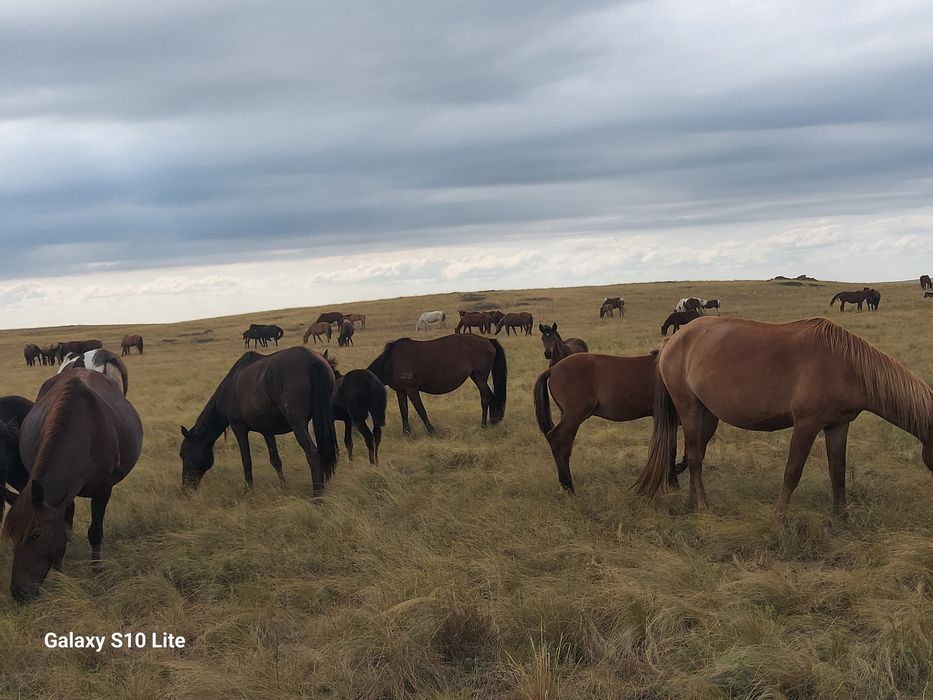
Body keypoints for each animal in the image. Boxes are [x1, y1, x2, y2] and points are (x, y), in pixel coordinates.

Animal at [1, 371, 143, 601]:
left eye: (36, 534)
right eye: (12, 536)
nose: (19, 593)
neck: (83, 431)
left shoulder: (103, 489)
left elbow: (95, 532)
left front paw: (97, 571)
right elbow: (63, 531)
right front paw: (60, 575)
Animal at [179, 347, 338, 493]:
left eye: (182, 454)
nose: (185, 489)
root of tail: (314, 360)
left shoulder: (239, 428)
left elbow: (246, 461)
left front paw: (248, 491)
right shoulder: (267, 430)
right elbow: (275, 460)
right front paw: (283, 487)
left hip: (298, 424)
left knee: (312, 454)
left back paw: (317, 495)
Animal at [368, 334, 507, 434]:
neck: (392, 362)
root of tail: (488, 340)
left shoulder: (412, 390)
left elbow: (421, 410)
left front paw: (432, 431)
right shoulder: (400, 391)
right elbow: (404, 411)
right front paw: (406, 433)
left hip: (480, 377)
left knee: (485, 398)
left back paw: (483, 426)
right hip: (475, 376)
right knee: (491, 397)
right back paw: (493, 422)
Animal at [534, 353, 684, 492]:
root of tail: (553, 369)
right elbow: (673, 450)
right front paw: (675, 481)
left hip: (567, 416)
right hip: (574, 417)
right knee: (558, 440)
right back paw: (568, 487)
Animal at [635, 317, 933, 514]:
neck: (845, 365)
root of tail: (673, 340)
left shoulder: (838, 425)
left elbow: (838, 471)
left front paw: (842, 517)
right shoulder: (806, 425)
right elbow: (792, 472)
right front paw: (778, 519)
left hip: (707, 415)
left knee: (695, 454)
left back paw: (691, 503)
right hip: (689, 409)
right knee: (695, 459)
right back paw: (705, 508)